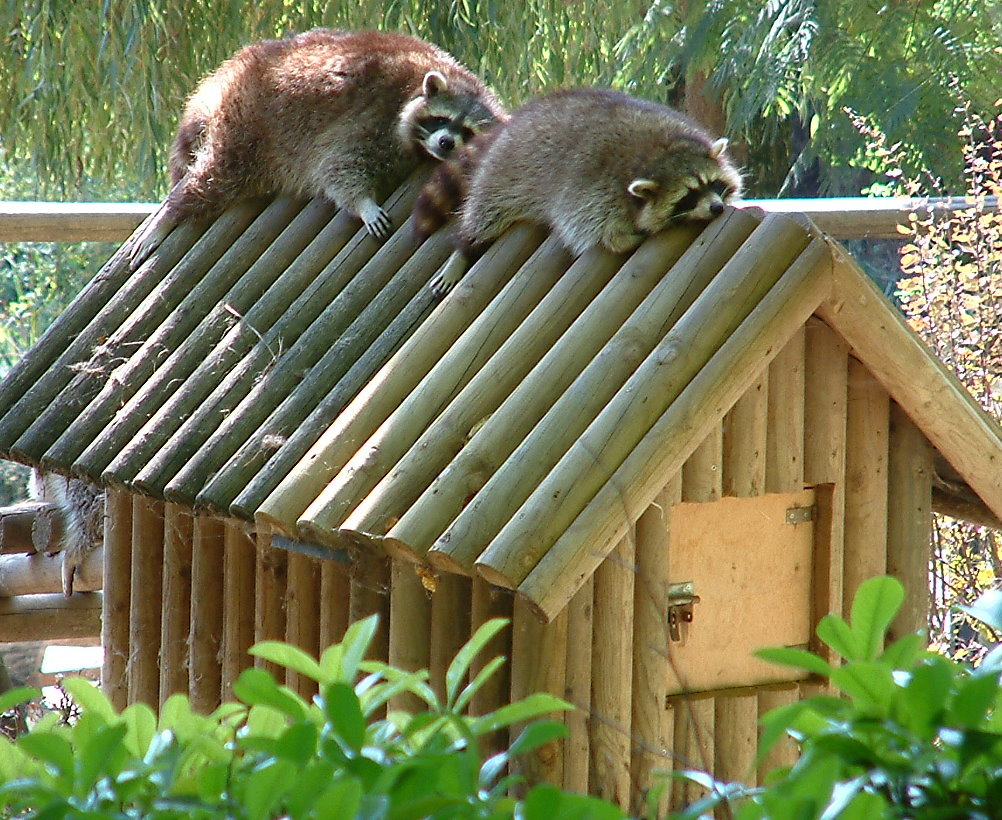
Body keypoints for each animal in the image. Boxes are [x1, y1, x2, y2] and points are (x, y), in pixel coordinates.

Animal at [131, 27, 509, 264]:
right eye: (442, 119)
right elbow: (338, 166)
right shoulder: (375, 114)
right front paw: (363, 203)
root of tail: (243, 62)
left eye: (467, 132)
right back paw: (172, 210)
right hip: (248, 121)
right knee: (216, 176)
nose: (445, 143)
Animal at [414, 86, 745, 294]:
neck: (661, 152)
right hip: (505, 169)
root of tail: (514, 121)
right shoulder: (592, 185)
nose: (716, 207)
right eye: (689, 195)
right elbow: (590, 229)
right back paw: (464, 247)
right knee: (485, 213)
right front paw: (626, 237)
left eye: (713, 184)